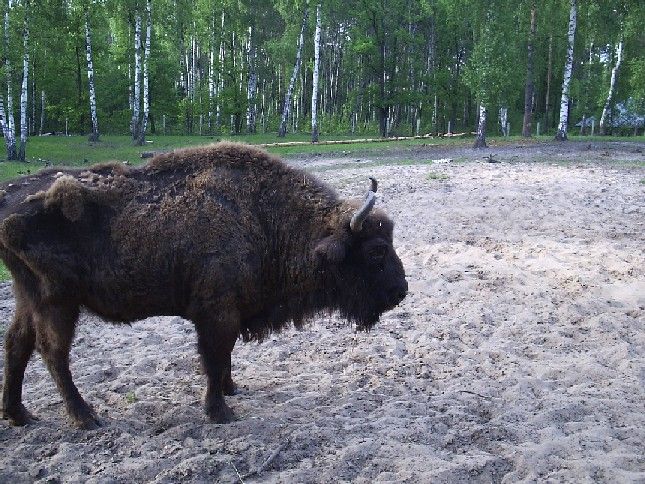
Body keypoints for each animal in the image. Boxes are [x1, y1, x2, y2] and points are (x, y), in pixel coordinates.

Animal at [0, 143, 406, 428]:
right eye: (376, 251)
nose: (400, 291)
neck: (264, 217)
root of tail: (8, 197)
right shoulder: (216, 313)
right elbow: (214, 357)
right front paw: (220, 411)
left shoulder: (230, 312)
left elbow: (224, 358)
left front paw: (231, 389)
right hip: (57, 303)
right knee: (53, 353)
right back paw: (86, 418)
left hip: (28, 297)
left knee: (17, 344)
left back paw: (20, 415)